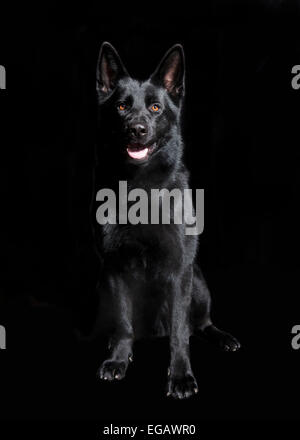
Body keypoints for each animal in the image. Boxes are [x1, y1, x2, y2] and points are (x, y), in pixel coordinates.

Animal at [92, 43, 240, 400]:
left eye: (156, 107)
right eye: (121, 106)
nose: (137, 129)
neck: (141, 189)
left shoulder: (179, 271)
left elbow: (180, 331)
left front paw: (181, 375)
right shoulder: (115, 268)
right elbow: (123, 322)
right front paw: (118, 359)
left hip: (197, 281)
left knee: (199, 323)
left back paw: (222, 336)